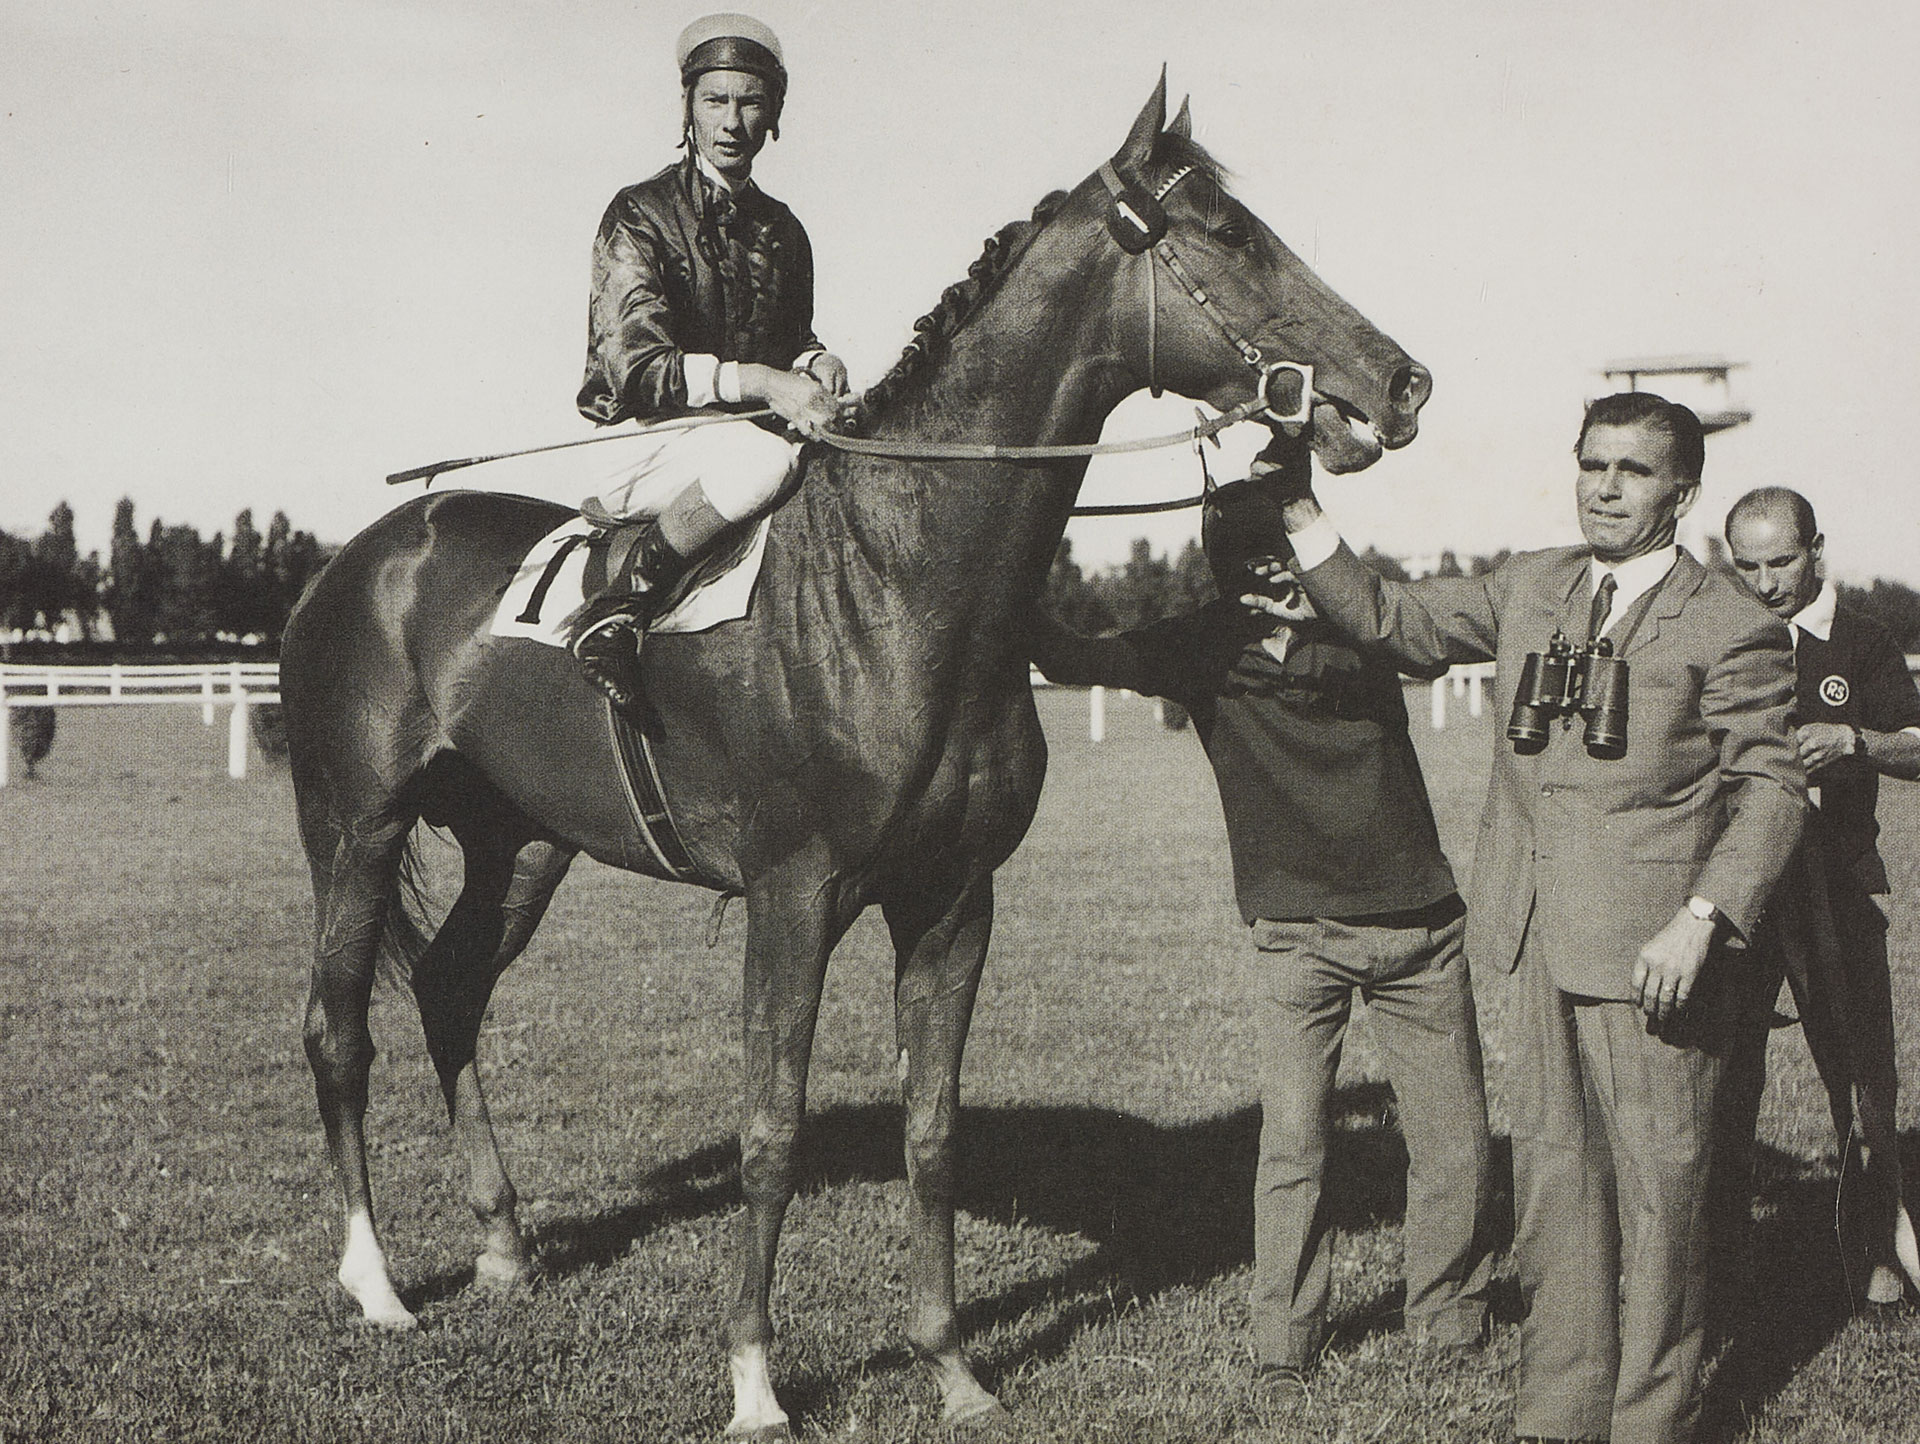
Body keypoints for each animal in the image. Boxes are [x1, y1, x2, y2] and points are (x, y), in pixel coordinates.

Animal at [280, 81, 1428, 1444]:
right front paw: (755, 1383)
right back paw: (376, 1283)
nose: (1402, 380)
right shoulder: (794, 896)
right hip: (356, 826)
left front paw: (953, 1366)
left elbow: (931, 1132)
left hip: (524, 841)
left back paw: (505, 1248)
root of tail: (365, 553)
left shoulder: (954, 899)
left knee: (452, 989)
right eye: (1234, 233)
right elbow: (769, 1132)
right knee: (338, 1028)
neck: (900, 577)